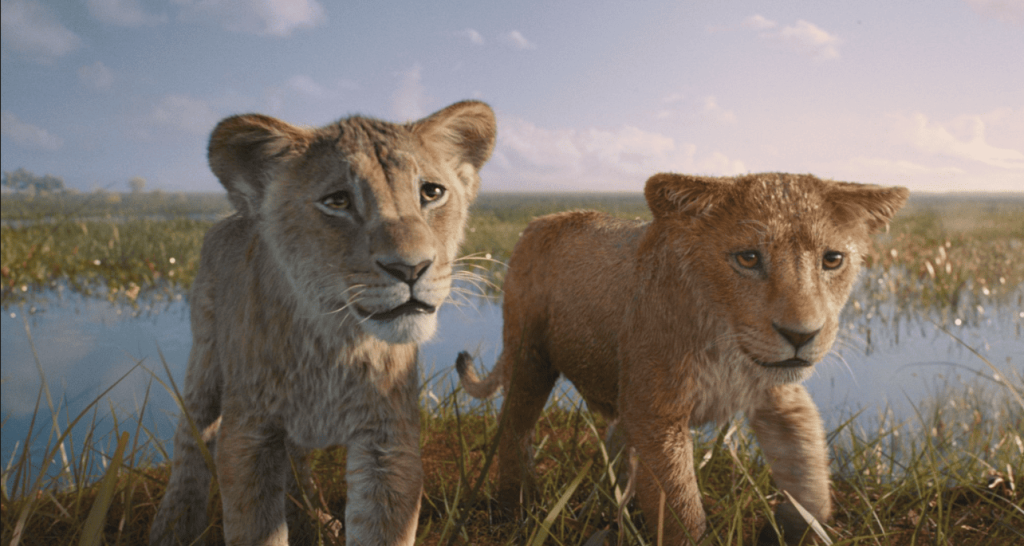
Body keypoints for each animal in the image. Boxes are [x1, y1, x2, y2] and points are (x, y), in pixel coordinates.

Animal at [149, 100, 496, 546]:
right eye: (338, 201)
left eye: (431, 193)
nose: (411, 268)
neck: (334, 342)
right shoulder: (249, 436)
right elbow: (254, 525)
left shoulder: (388, 441)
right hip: (205, 356)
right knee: (191, 434)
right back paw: (173, 525)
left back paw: (314, 519)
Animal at [457, 172, 908, 545]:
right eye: (748, 258)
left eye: (833, 259)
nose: (801, 335)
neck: (727, 345)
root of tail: (540, 220)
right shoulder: (657, 413)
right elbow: (682, 511)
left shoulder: (780, 400)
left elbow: (811, 478)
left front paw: (788, 529)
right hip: (529, 356)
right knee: (514, 428)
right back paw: (515, 509)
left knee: (617, 445)